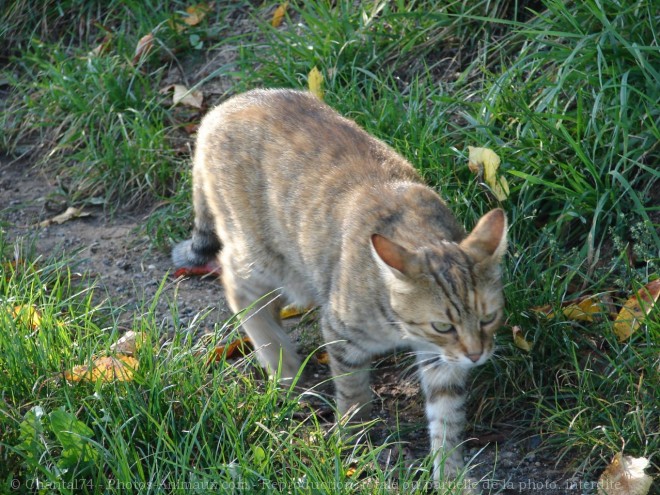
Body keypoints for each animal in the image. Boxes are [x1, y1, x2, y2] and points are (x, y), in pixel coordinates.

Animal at [173, 89, 508, 484]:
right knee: (235, 282)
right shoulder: (343, 334)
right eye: (443, 325)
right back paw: (285, 369)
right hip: (265, 257)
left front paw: (450, 475)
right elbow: (352, 391)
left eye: (488, 318)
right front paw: (353, 437)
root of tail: (221, 109)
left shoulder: (441, 359)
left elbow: (447, 416)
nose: (476, 355)